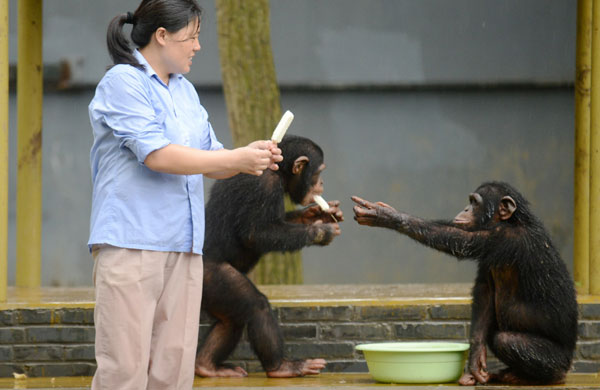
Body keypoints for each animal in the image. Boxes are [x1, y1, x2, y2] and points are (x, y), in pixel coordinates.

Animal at [193, 136, 340, 378]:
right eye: (319, 172)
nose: (321, 184)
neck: (279, 171)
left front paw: (314, 214)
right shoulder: (264, 184)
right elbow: (258, 233)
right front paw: (320, 231)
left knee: (231, 320)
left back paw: (207, 366)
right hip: (209, 277)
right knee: (255, 306)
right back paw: (281, 367)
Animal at [352, 181, 576, 386]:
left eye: (475, 202)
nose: (466, 209)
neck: (507, 222)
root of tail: (568, 363)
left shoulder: (503, 239)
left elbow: (458, 239)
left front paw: (386, 215)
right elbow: (485, 292)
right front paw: (476, 363)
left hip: (556, 359)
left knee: (506, 340)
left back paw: (537, 376)